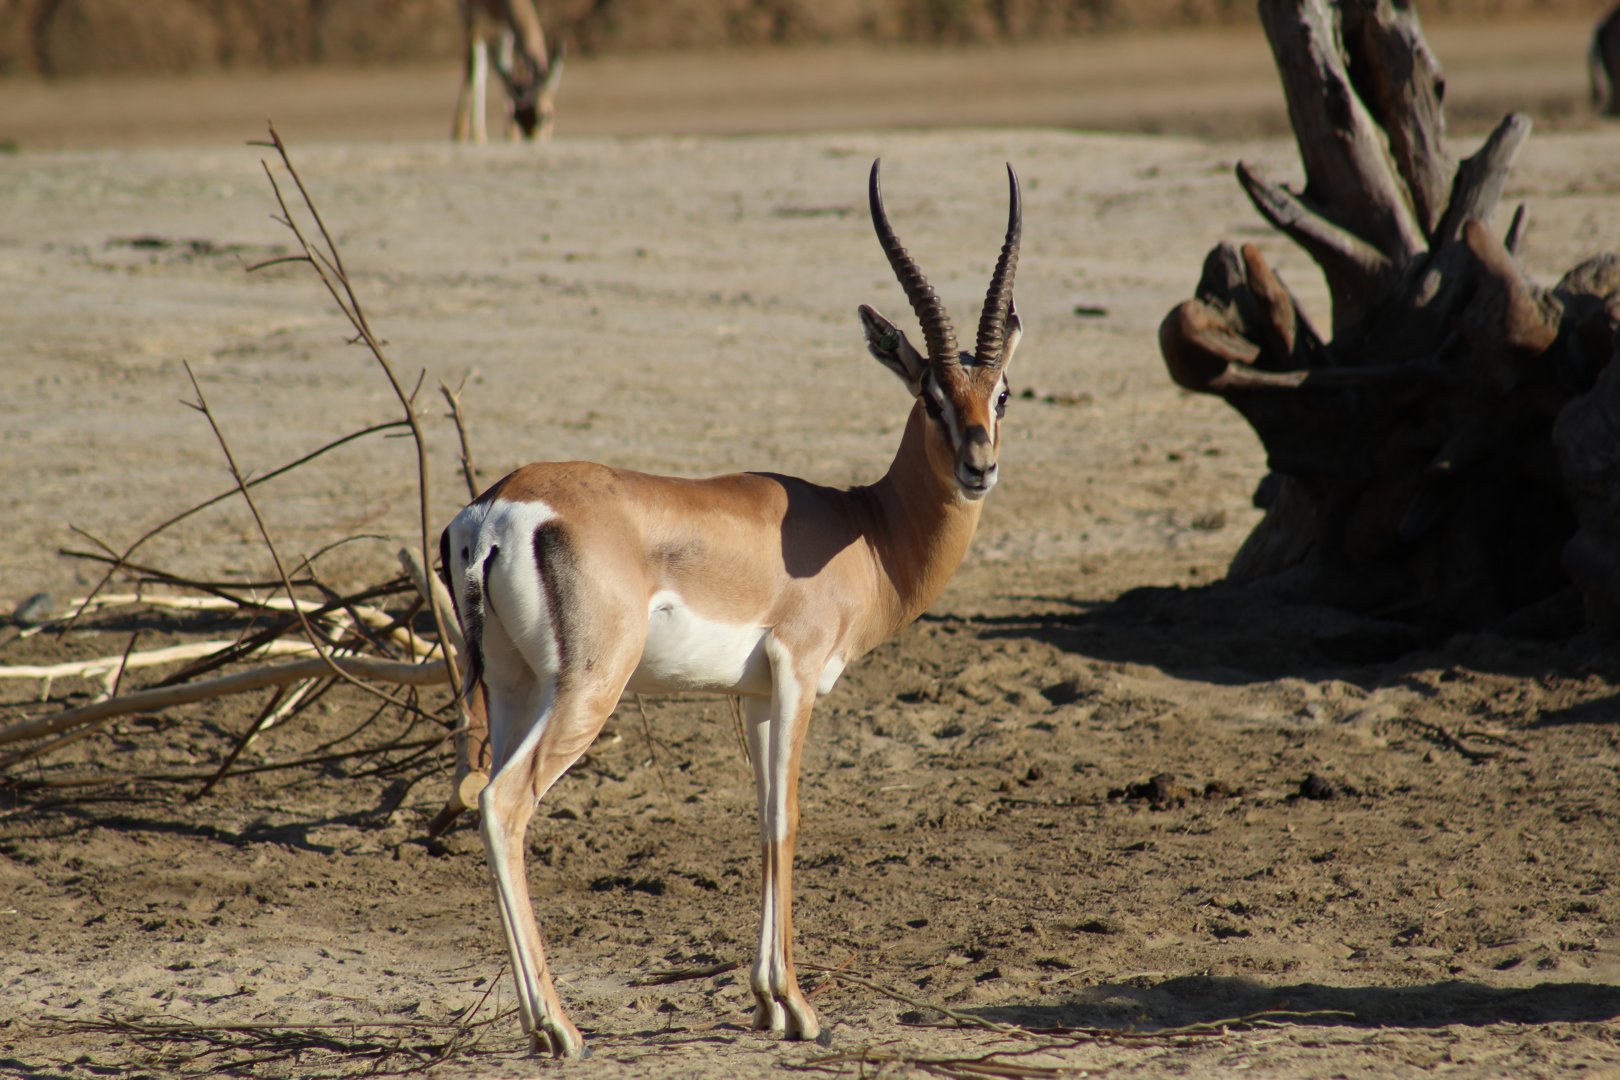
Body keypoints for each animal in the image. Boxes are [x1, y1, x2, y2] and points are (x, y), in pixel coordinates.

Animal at [440, 160, 1022, 1057]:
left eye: (1005, 393)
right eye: (930, 395)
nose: (979, 467)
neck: (868, 529)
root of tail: (497, 508)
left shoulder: (752, 697)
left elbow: (759, 817)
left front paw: (766, 1002)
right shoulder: (797, 674)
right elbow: (788, 818)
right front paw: (800, 1009)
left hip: (510, 689)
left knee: (487, 795)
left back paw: (540, 1026)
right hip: (587, 690)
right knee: (504, 805)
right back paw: (562, 1029)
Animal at [452, 0, 564, 143]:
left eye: (548, 115)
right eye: (517, 118)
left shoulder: (506, 29)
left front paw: (511, 137)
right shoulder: (472, 16)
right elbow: (477, 67)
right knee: (475, 65)